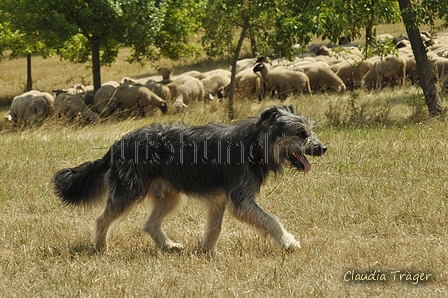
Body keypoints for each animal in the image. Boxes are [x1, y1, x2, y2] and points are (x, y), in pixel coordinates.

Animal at [52, 105, 328, 254]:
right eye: (301, 134)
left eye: (311, 131)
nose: (323, 147)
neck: (255, 144)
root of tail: (118, 143)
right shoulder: (241, 200)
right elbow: (271, 221)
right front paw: (288, 242)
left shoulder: (219, 201)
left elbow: (215, 228)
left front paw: (207, 251)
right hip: (128, 192)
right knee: (102, 219)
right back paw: (101, 247)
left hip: (170, 197)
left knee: (150, 225)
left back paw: (168, 246)